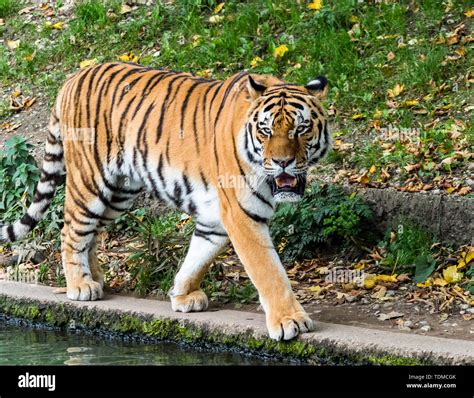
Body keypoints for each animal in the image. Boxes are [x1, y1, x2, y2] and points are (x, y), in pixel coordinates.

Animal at [0, 63, 332, 342]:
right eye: (265, 130)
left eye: (301, 129)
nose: (283, 162)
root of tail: (73, 77)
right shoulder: (241, 214)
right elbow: (268, 270)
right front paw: (290, 321)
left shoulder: (216, 217)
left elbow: (199, 255)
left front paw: (182, 295)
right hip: (89, 182)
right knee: (71, 230)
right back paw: (80, 286)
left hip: (118, 194)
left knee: (90, 233)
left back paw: (94, 278)